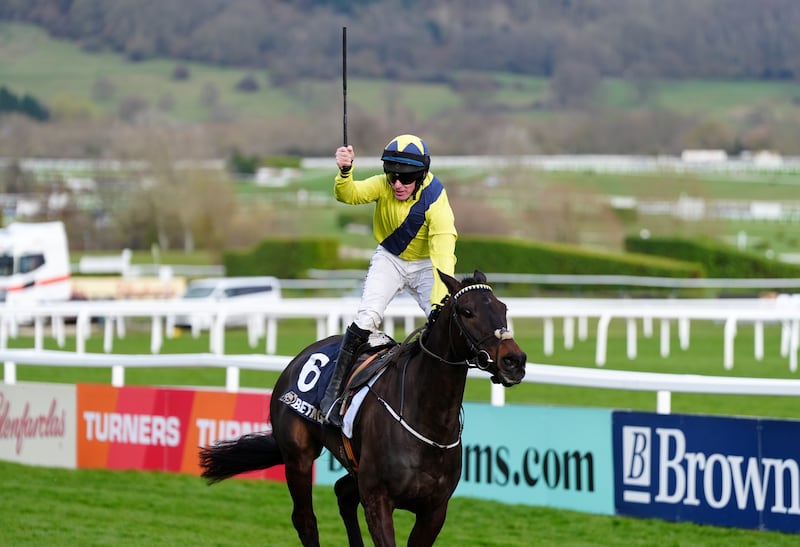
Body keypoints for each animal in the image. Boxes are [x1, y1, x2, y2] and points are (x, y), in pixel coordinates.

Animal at [198, 272, 524, 544]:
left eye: (504, 308)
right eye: (467, 311)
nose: (514, 361)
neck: (428, 420)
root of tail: (299, 357)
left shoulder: (434, 510)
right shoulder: (378, 499)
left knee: (342, 492)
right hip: (298, 456)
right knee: (305, 519)